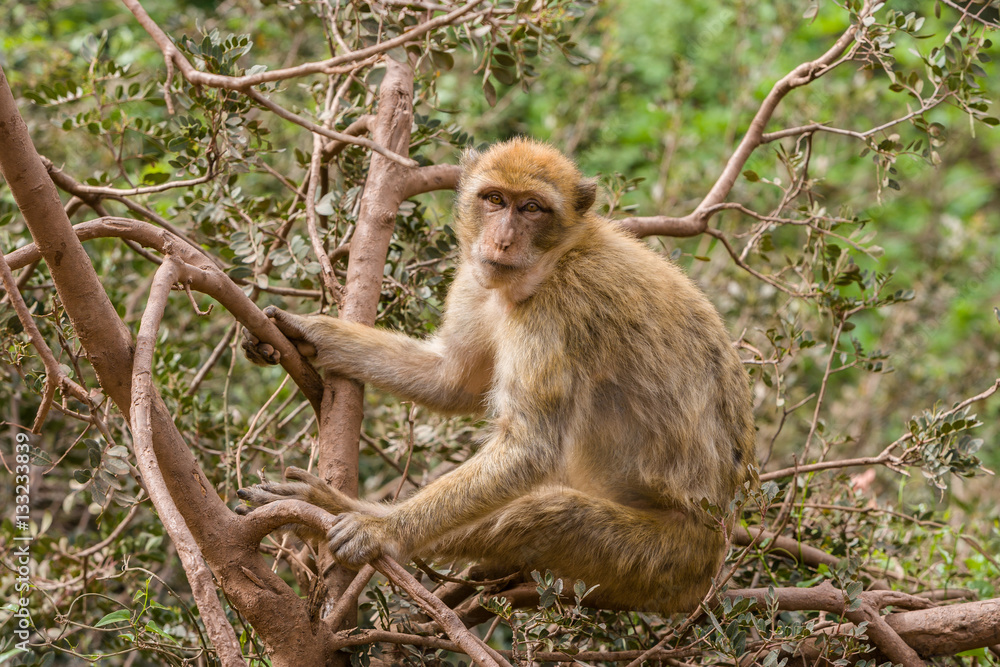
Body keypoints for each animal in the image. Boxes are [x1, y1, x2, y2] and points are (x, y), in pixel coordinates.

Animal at [238, 137, 756, 613]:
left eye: (531, 208)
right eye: (494, 200)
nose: (502, 240)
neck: (557, 259)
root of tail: (714, 556)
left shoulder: (557, 311)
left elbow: (528, 448)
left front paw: (382, 529)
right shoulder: (476, 278)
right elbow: (451, 380)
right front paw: (309, 333)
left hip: (667, 560)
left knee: (550, 514)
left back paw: (332, 511)